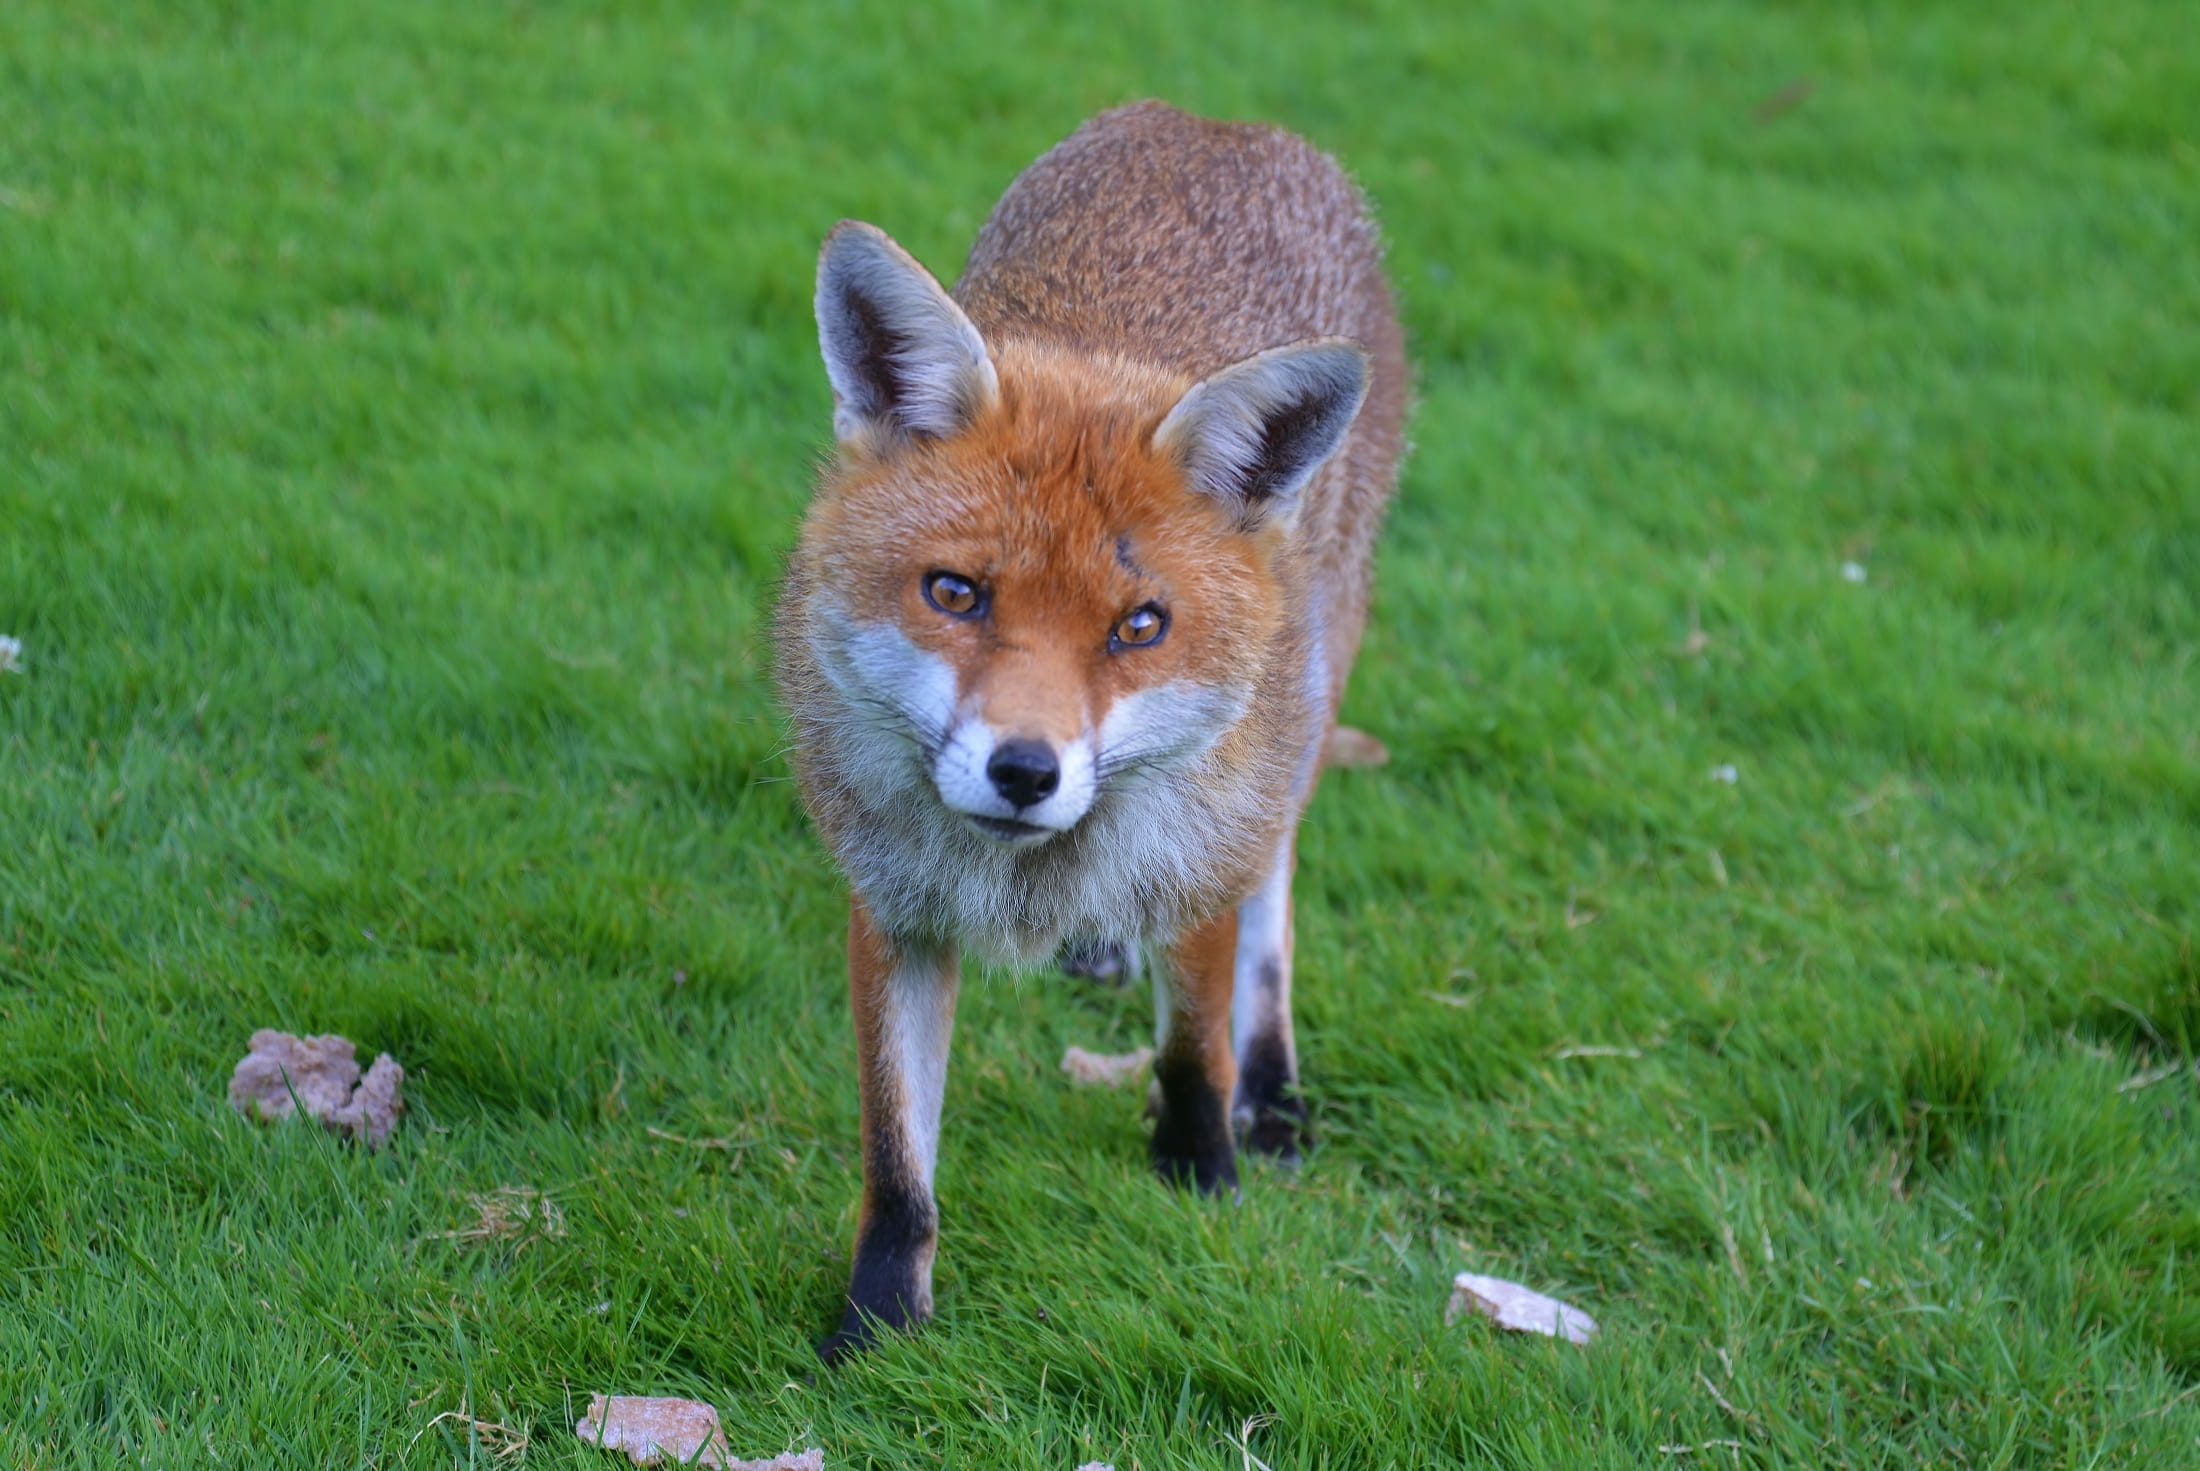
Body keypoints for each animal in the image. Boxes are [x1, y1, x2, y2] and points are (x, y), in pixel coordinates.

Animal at [774, 100, 1407, 1362]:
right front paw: (874, 1331)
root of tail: (1219, 121)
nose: (1025, 771)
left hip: (1303, 708)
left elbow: (1193, 1043)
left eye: (1139, 626)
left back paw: (1273, 1092)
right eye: (956, 593)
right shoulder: (892, 907)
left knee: (1273, 897)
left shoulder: (1201, 853)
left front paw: (1201, 1176)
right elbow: (896, 1164)